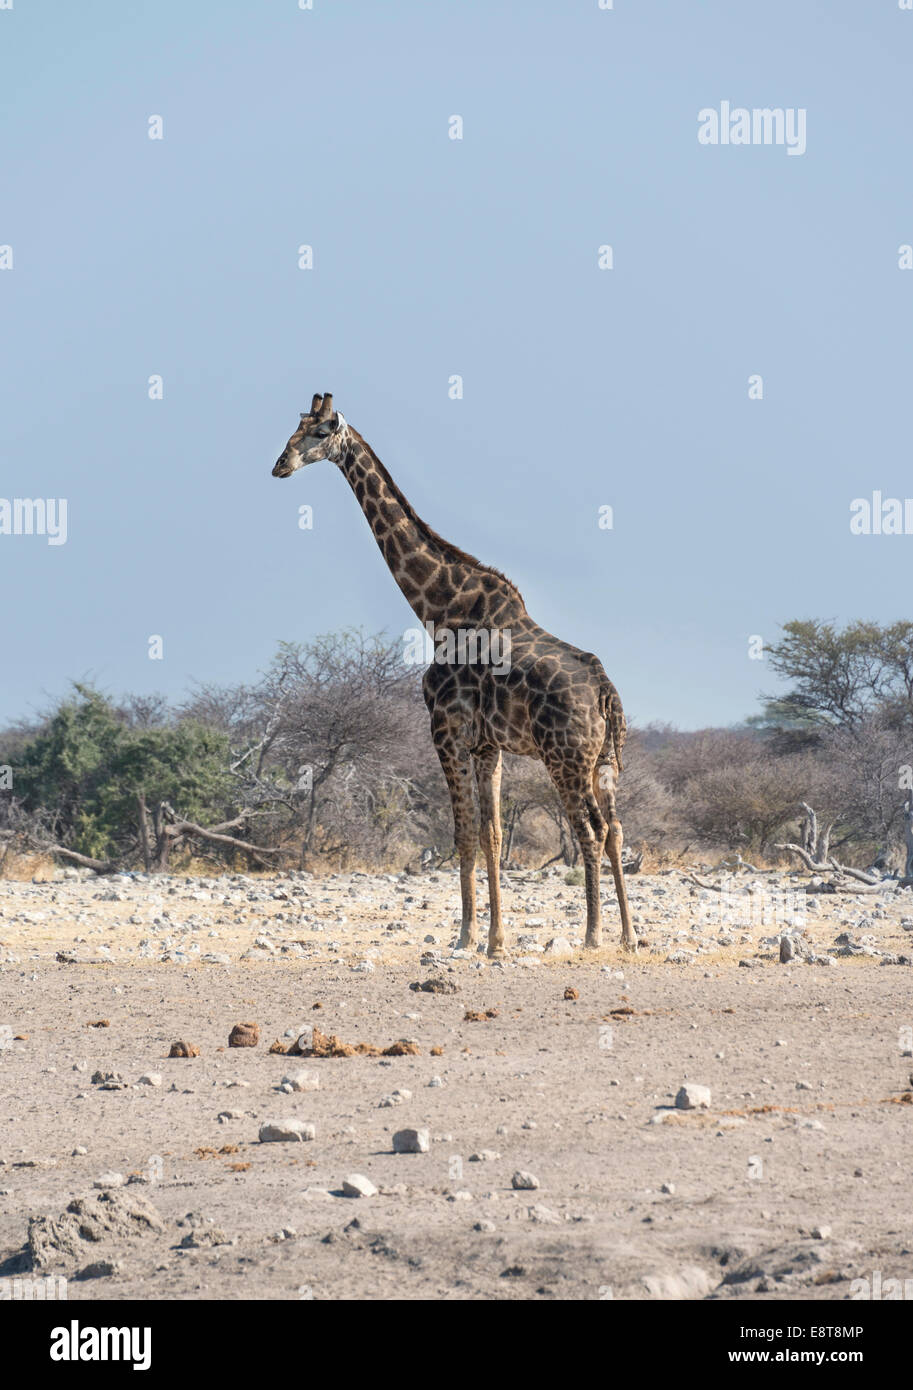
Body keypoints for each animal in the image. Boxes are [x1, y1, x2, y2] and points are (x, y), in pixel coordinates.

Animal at [270, 391, 633, 956]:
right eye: (295, 427)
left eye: (318, 431)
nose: (279, 465)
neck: (438, 609)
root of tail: (605, 690)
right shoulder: (487, 744)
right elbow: (491, 834)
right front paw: (495, 939)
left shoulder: (444, 729)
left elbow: (462, 833)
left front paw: (464, 937)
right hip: (605, 760)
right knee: (616, 829)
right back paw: (630, 936)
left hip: (565, 757)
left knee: (590, 830)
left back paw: (594, 935)